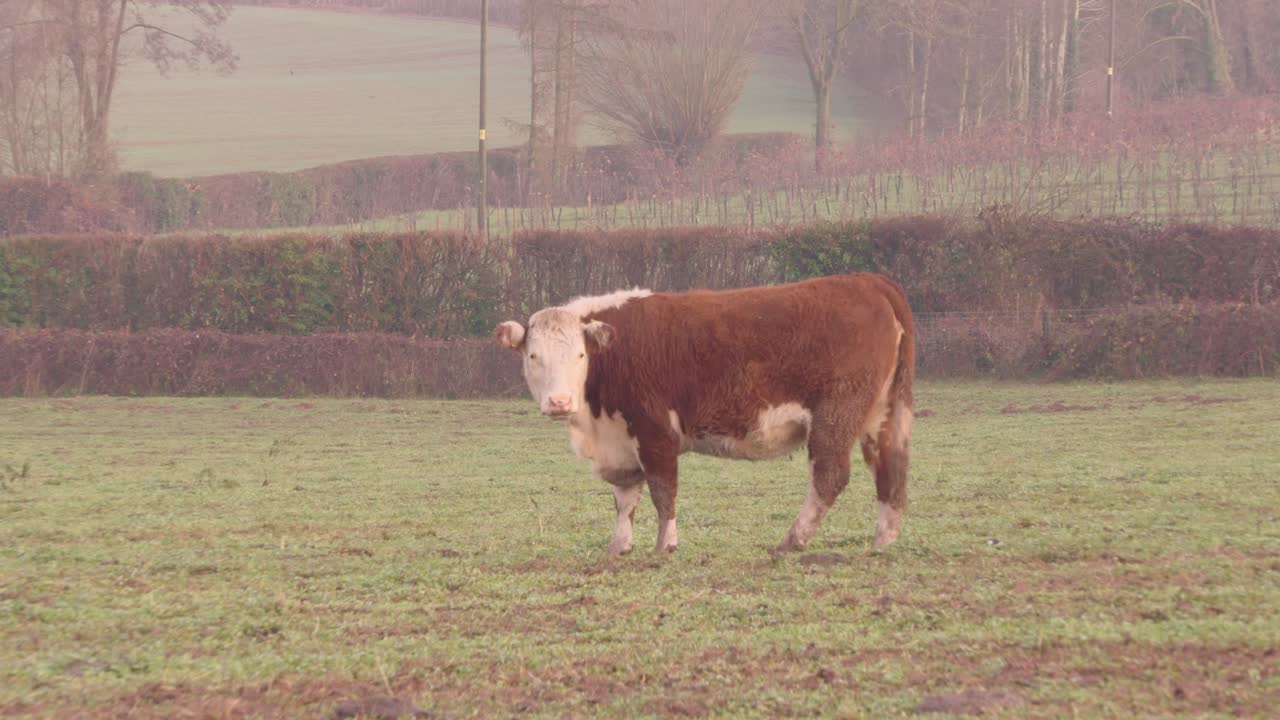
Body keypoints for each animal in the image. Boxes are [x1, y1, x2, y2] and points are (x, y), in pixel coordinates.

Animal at [494, 273, 916, 556]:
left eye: (580, 355)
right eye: (534, 356)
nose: (560, 402)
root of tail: (867, 281)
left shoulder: (655, 432)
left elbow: (663, 491)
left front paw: (665, 545)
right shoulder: (621, 442)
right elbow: (625, 497)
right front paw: (620, 546)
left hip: (835, 416)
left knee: (830, 477)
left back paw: (792, 540)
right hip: (883, 415)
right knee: (890, 469)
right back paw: (883, 540)